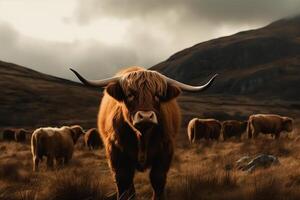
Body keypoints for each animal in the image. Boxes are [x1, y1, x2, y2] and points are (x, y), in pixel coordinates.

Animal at [71, 66, 217, 199]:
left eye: (157, 95)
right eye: (130, 95)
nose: (146, 117)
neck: (142, 136)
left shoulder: (165, 150)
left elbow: (158, 179)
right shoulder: (116, 153)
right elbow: (124, 182)